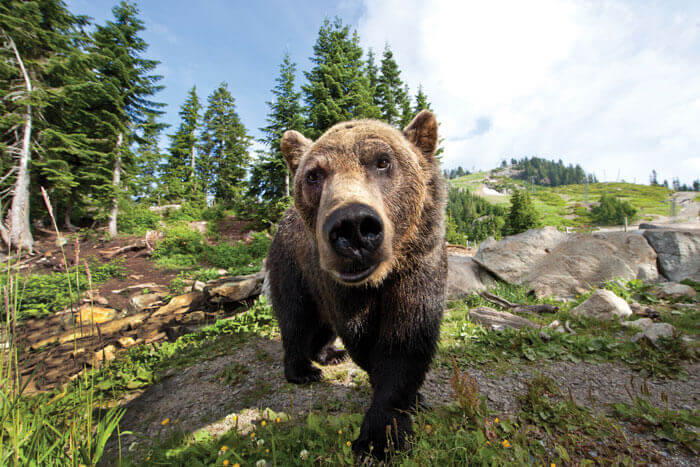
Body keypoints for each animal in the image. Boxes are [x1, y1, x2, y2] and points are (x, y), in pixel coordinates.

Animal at [266, 110, 446, 460]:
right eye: (314, 175)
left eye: (382, 161)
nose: (353, 226)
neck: (381, 278)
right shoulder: (339, 286)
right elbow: (362, 337)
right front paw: (378, 440)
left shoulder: (420, 269)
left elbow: (407, 339)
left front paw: (397, 416)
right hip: (293, 268)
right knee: (296, 318)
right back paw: (303, 369)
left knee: (319, 327)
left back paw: (330, 354)